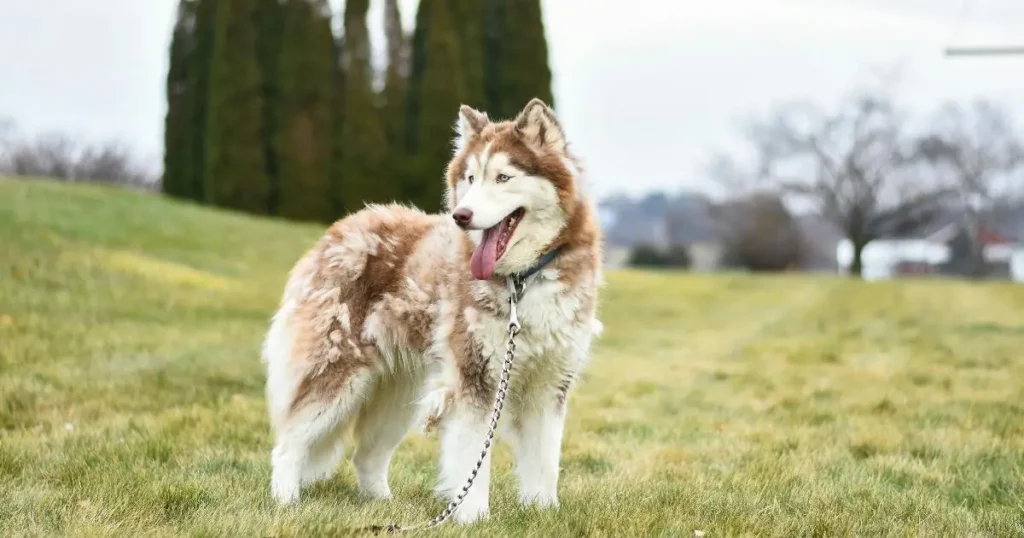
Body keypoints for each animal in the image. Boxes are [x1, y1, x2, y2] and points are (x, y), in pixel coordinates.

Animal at [260, 96, 602, 520]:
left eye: (503, 178)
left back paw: (385, 507)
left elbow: (543, 461)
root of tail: (342, 227)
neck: (523, 280)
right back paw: (285, 501)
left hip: (398, 396)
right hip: (337, 377)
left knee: (365, 456)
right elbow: (473, 461)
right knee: (288, 445)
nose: (461, 216)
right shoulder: (476, 379)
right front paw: (473, 518)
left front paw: (543, 513)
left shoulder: (549, 385)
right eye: (470, 178)